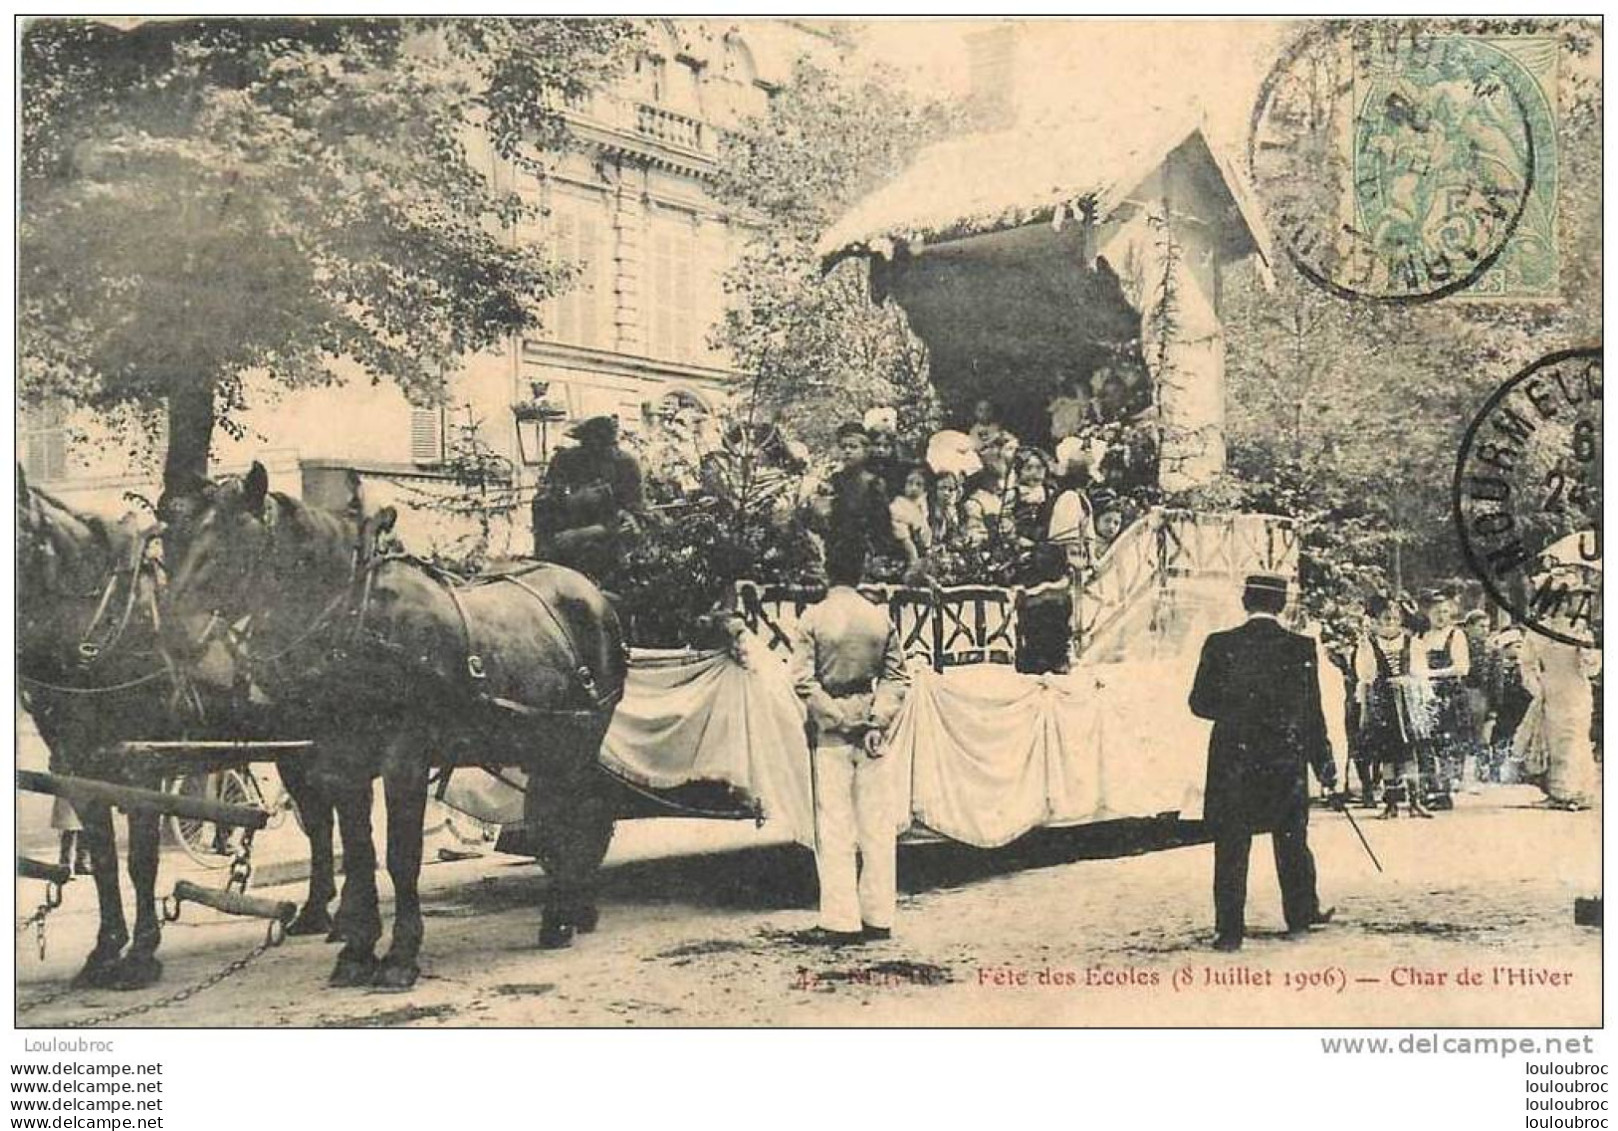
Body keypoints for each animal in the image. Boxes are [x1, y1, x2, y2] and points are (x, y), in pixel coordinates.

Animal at [14, 469, 336, 990]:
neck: (111, 627)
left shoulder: (141, 767)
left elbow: (140, 863)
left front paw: (141, 955)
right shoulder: (79, 772)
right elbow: (104, 863)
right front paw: (104, 952)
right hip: (295, 751)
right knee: (322, 820)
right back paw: (315, 912)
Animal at [159, 462, 624, 990]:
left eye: (230, 541)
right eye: (177, 539)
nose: (173, 637)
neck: (358, 616)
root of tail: (593, 592)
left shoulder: (406, 756)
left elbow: (402, 855)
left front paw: (401, 953)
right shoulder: (342, 759)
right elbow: (359, 850)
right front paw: (357, 950)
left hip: (583, 738)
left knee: (579, 816)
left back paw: (562, 915)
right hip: (542, 744)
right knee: (555, 818)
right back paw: (574, 908)